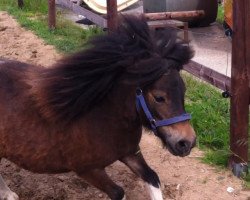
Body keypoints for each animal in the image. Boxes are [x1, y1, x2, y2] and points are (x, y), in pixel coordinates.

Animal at [0, 16, 195, 200]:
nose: (187, 143)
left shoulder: (130, 152)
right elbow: (118, 192)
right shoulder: (88, 170)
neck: (102, 117)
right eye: (159, 97)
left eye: (184, 92)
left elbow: (152, 177)